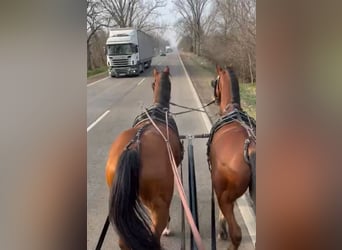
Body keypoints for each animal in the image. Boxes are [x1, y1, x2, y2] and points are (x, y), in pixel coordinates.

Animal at [206, 65, 256, 250]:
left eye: (216, 81)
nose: (214, 97)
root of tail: (249, 147)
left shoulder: (221, 188)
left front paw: (221, 229)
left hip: (224, 196)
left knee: (237, 234)